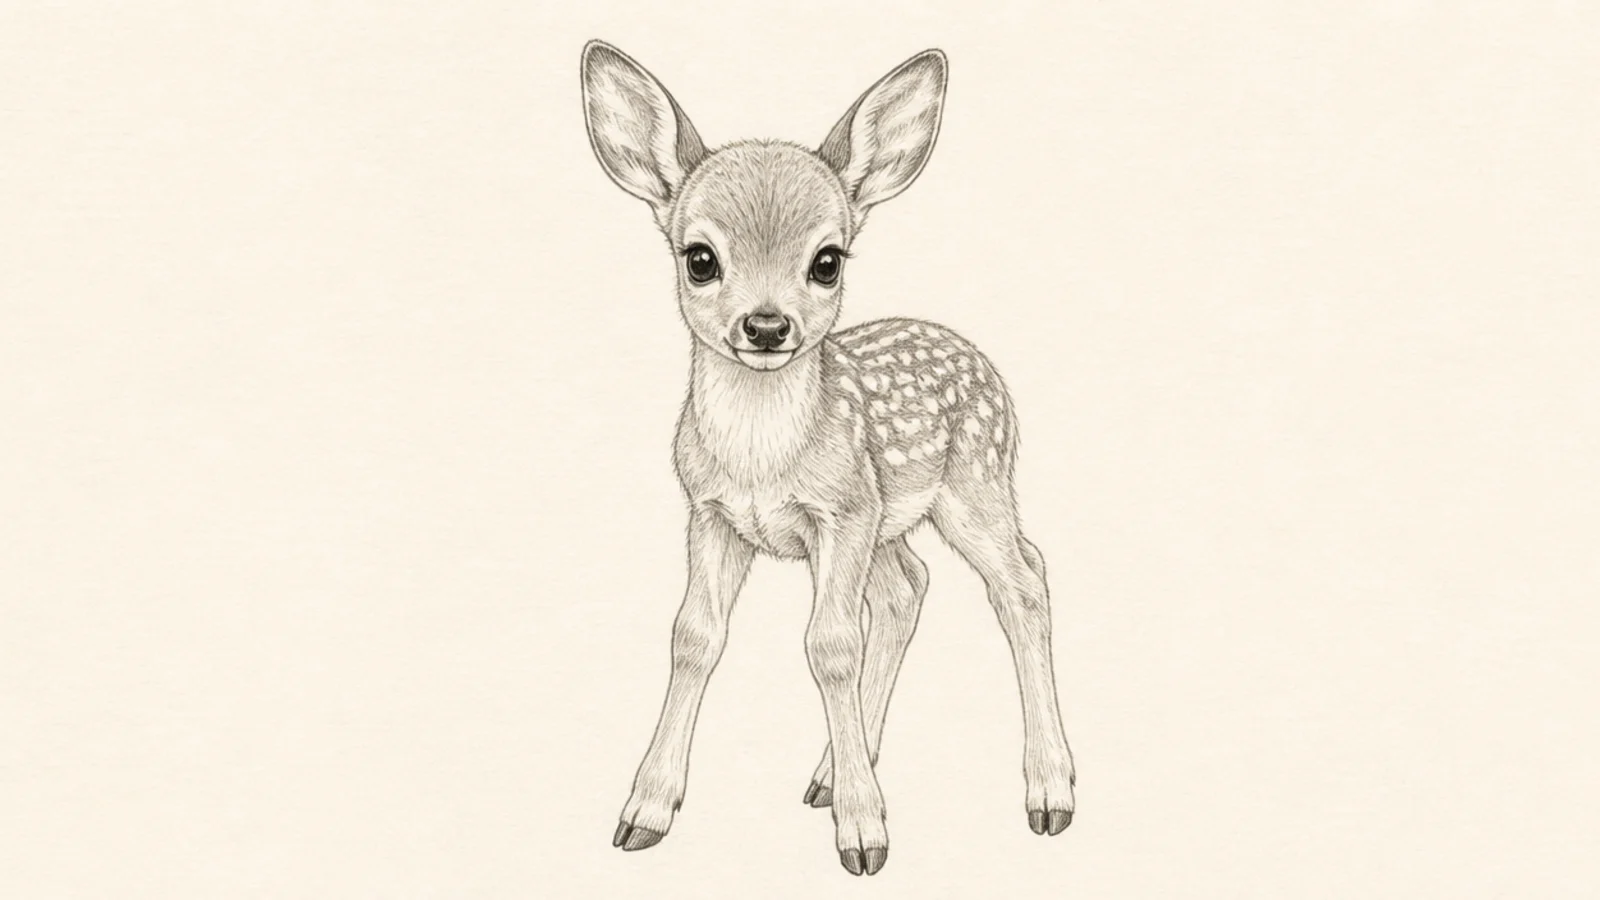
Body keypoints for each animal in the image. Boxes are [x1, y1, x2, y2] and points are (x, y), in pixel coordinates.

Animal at [580, 40, 1076, 876]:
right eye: (700, 257)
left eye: (828, 260)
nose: (766, 325)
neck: (760, 460)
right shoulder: (713, 513)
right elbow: (694, 636)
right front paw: (644, 811)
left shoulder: (840, 512)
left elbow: (830, 646)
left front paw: (865, 834)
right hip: (891, 519)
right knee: (910, 588)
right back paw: (834, 771)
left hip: (974, 483)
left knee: (1024, 580)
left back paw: (1049, 792)